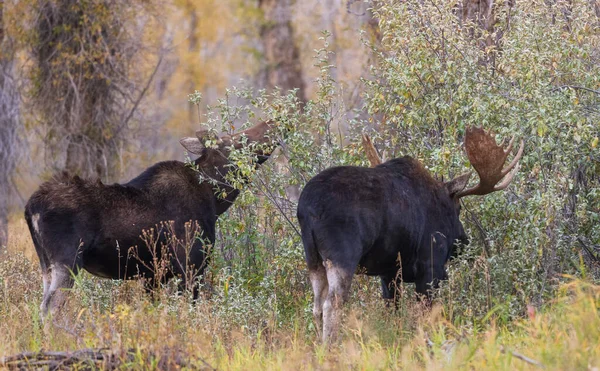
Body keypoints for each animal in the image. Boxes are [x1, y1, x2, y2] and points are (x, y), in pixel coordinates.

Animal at [24, 120, 276, 318]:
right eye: (240, 140)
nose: (271, 123)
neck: (216, 200)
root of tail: (30, 208)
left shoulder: (153, 276)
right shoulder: (190, 267)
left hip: (46, 264)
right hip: (68, 261)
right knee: (50, 308)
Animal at [298, 128, 524, 342]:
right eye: (458, 208)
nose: (463, 243)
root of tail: (306, 209)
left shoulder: (389, 273)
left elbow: (393, 312)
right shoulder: (430, 267)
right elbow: (424, 316)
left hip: (313, 259)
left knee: (317, 305)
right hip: (343, 255)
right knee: (332, 303)